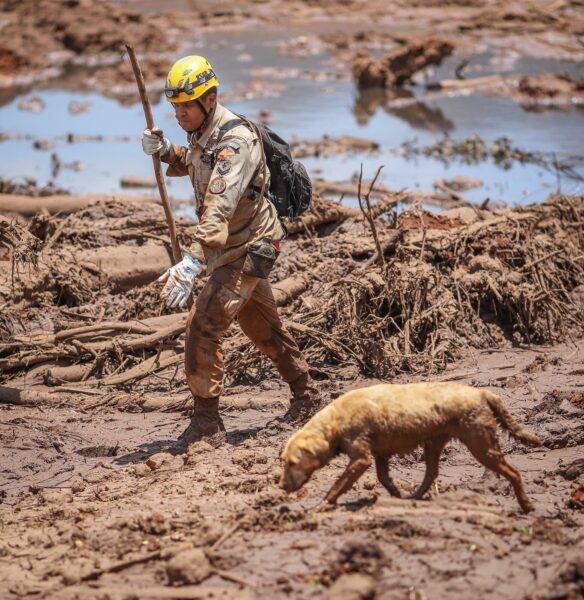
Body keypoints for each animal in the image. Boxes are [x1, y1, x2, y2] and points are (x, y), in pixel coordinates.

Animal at [280, 384, 540, 510]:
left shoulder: (361, 458)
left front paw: (322, 504)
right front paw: (397, 495)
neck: (334, 422)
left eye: (292, 462)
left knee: (514, 473)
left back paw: (526, 505)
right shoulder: (381, 454)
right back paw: (414, 496)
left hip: (481, 446)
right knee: (431, 472)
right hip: (434, 443)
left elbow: (338, 484)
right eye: (283, 461)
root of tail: (481, 392)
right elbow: (384, 478)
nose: (281, 486)